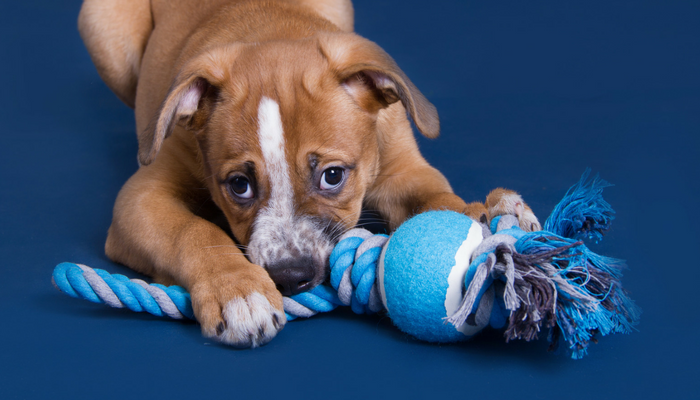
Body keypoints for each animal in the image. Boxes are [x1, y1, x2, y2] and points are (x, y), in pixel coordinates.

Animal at [80, 0, 540, 346]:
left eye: (332, 176)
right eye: (239, 186)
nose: (290, 278)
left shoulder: (401, 170)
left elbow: (436, 198)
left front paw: (488, 218)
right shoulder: (140, 197)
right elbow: (192, 231)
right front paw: (239, 290)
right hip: (102, 24)